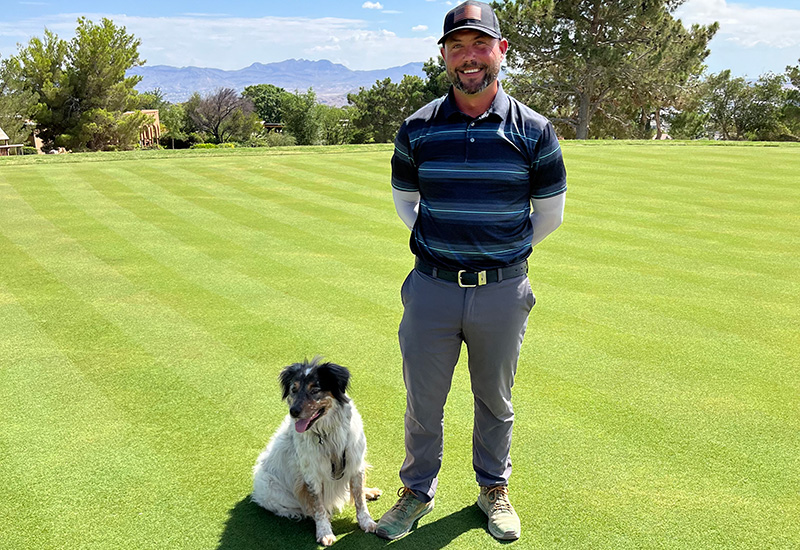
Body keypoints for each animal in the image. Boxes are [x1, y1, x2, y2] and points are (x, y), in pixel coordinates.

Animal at [253, 358, 384, 548]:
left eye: (315, 390)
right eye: (293, 389)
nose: (293, 412)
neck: (328, 433)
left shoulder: (355, 464)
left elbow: (359, 498)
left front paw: (366, 522)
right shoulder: (311, 476)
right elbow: (318, 506)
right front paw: (324, 532)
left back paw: (370, 491)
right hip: (269, 488)